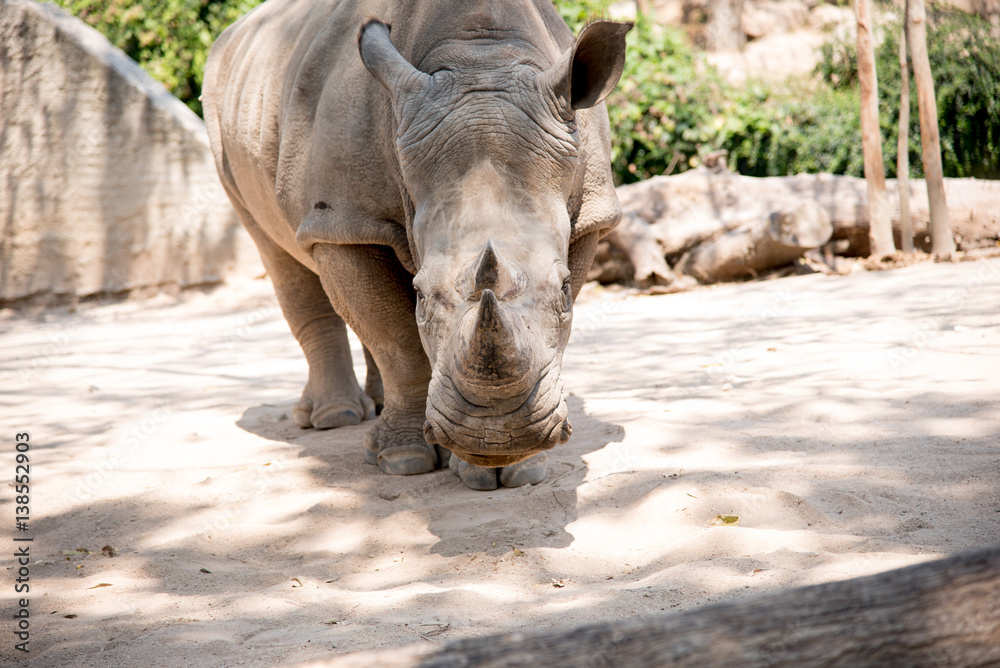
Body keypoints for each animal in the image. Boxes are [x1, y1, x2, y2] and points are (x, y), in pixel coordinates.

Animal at [203, 0, 630, 490]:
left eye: (563, 290)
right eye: (422, 295)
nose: (500, 436)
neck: (481, 59)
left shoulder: (590, 216)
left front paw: (516, 469)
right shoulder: (345, 219)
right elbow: (395, 338)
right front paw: (403, 461)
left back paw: (374, 406)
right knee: (279, 255)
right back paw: (334, 418)